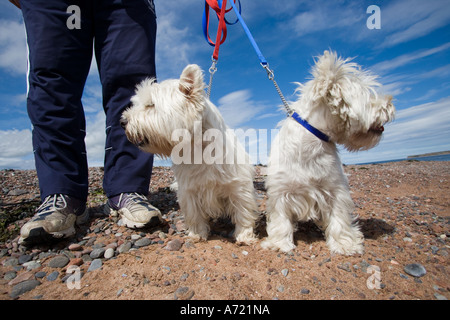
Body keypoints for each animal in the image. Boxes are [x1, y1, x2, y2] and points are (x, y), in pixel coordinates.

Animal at [121, 65, 258, 245]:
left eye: (151, 105)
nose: (122, 121)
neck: (197, 148)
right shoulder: (189, 189)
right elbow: (194, 213)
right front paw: (197, 234)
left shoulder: (238, 186)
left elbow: (243, 211)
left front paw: (244, 235)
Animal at [262, 51, 396, 256]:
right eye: (368, 97)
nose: (390, 103)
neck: (314, 141)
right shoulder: (281, 191)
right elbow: (280, 219)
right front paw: (279, 243)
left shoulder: (335, 190)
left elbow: (339, 219)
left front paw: (344, 244)